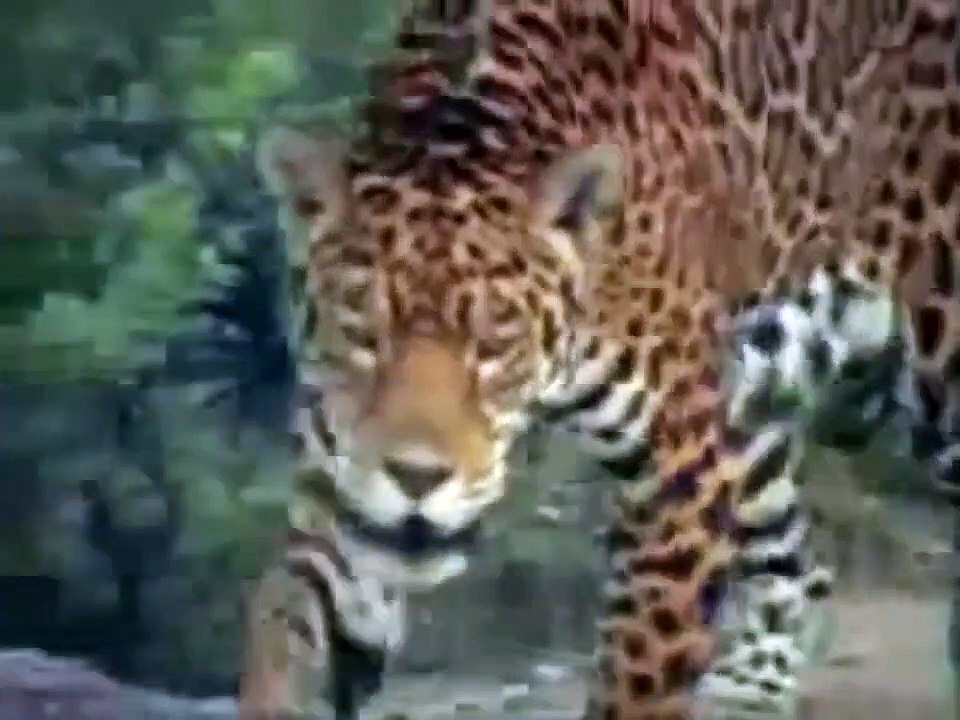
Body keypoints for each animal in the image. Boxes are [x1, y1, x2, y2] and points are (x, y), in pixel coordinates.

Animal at [234, 1, 960, 719]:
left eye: (496, 340)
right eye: (365, 330)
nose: (417, 478)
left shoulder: (679, 473)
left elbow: (637, 674)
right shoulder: (342, 482)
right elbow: (294, 621)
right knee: (797, 563)